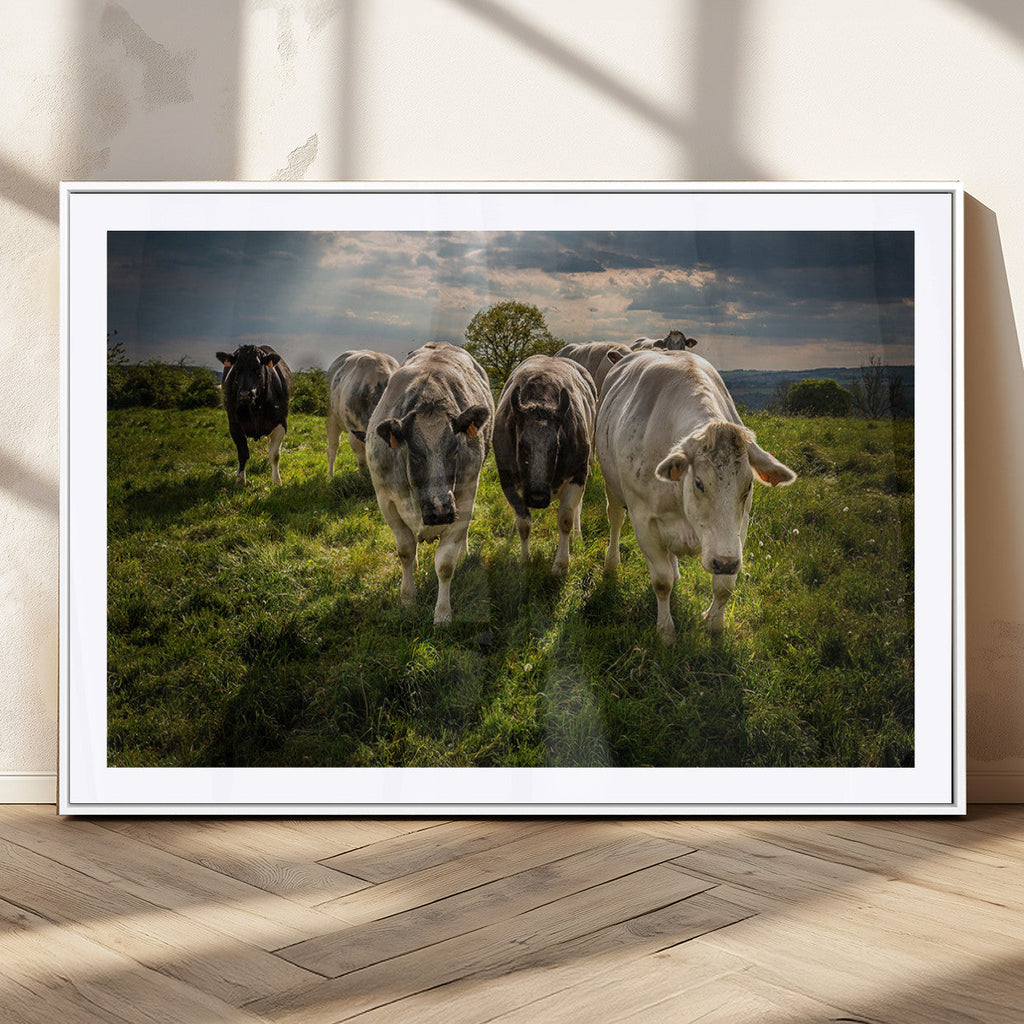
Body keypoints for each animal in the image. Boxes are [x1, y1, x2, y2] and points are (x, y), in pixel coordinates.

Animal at [215, 344, 291, 484]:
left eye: (257, 369)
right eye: (236, 369)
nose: (245, 394)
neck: (256, 407)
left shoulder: (281, 423)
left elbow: (275, 454)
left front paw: (277, 481)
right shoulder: (234, 425)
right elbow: (242, 453)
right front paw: (240, 479)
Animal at [366, 343, 494, 625]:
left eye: (455, 450)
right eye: (415, 454)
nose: (440, 510)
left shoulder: (463, 500)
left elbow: (445, 565)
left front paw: (443, 613)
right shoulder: (386, 501)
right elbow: (405, 551)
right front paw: (407, 598)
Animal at [493, 355, 598, 575]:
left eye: (556, 446)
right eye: (522, 445)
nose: (538, 497)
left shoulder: (578, 474)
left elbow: (566, 518)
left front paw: (561, 564)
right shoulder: (506, 479)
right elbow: (523, 522)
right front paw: (525, 559)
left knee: (577, 509)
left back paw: (578, 536)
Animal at [596, 350, 796, 639]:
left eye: (748, 485)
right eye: (700, 483)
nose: (725, 562)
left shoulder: (737, 530)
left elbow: (724, 587)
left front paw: (714, 624)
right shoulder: (643, 520)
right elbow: (662, 582)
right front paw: (665, 631)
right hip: (612, 488)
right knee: (615, 520)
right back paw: (611, 564)